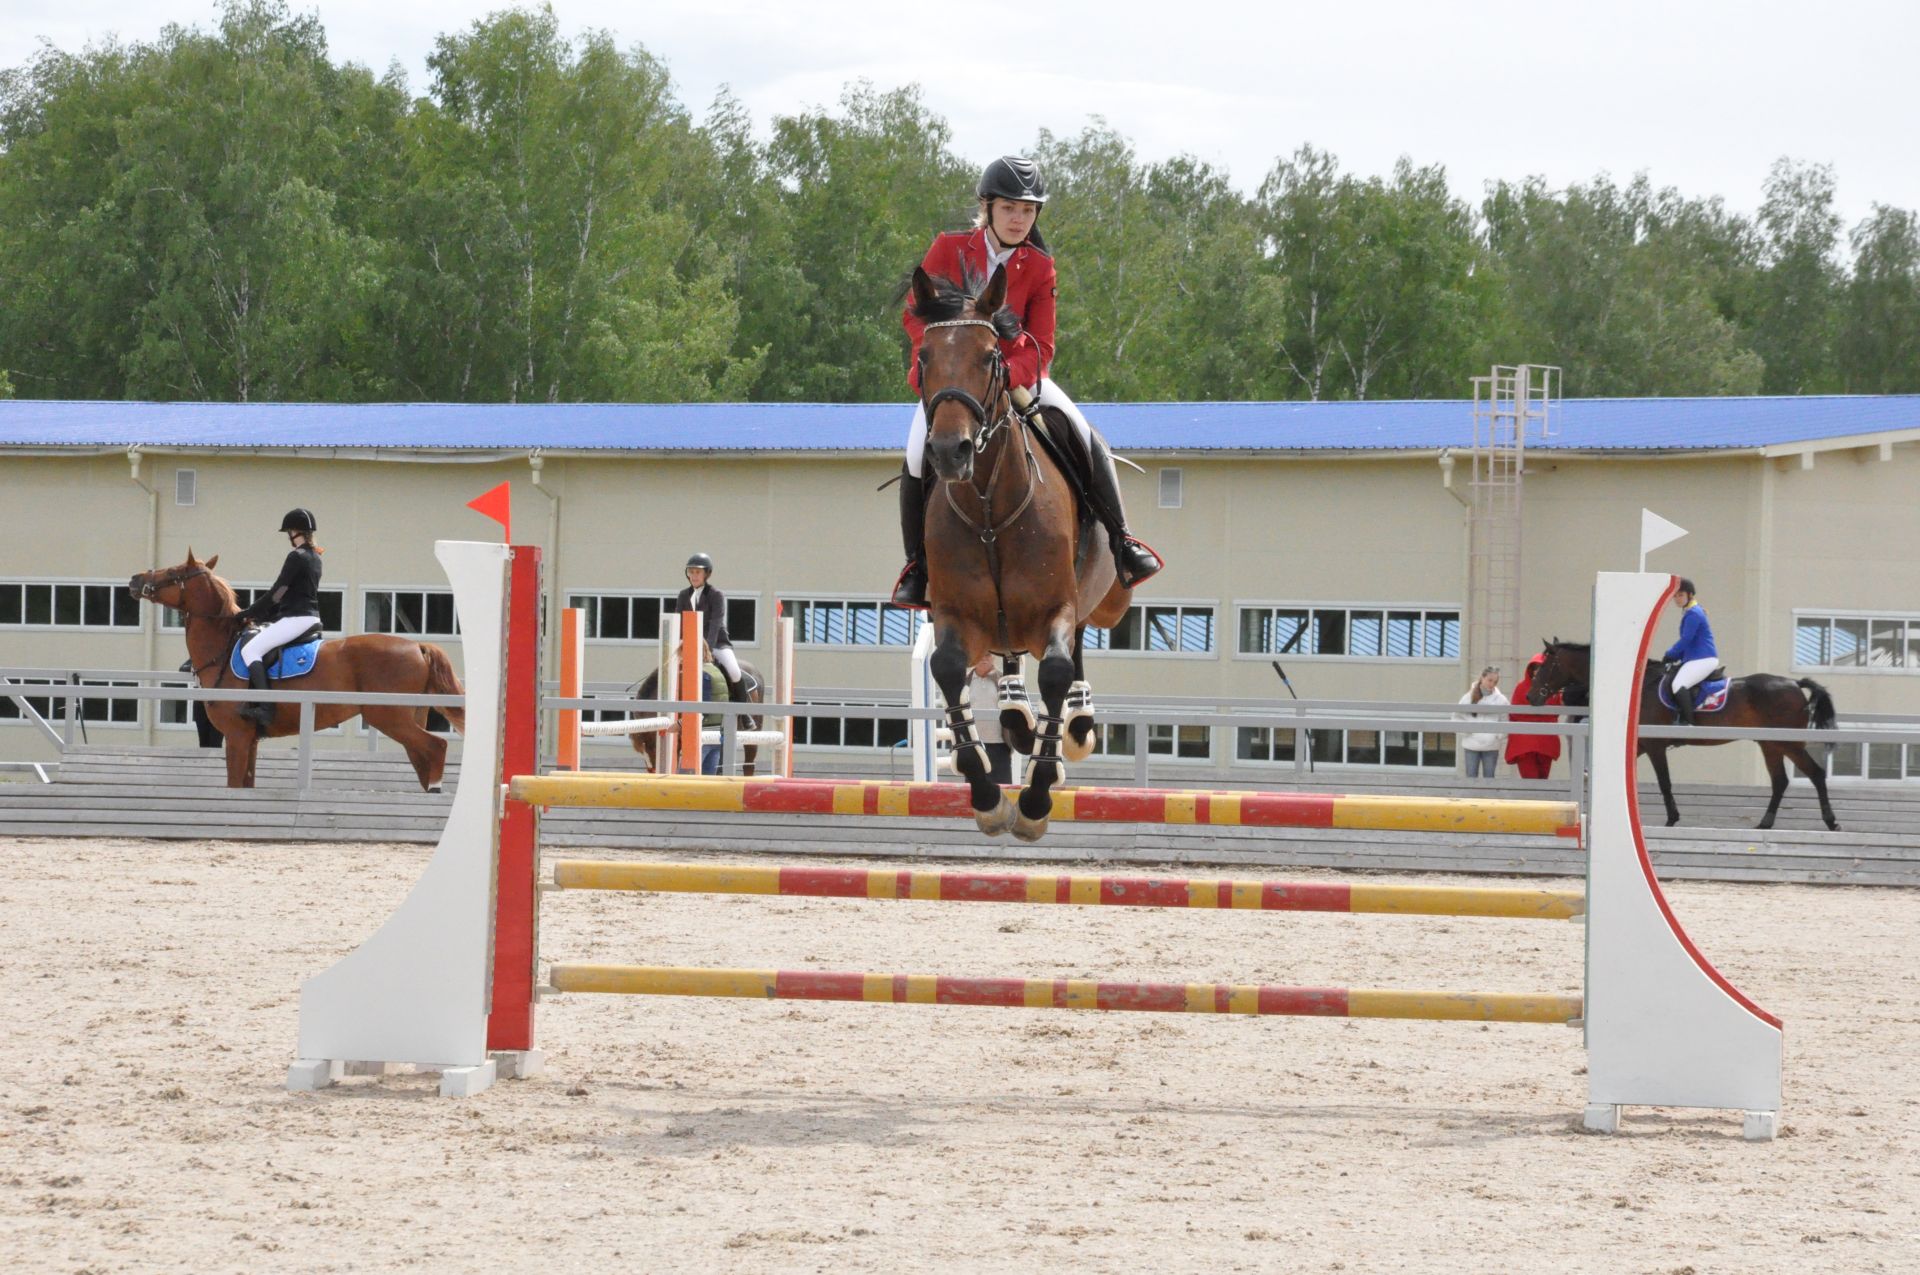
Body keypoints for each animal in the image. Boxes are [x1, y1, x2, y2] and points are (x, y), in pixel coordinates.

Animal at [129, 553, 466, 791]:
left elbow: (234, 784)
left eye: (173, 573)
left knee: (436, 747)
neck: (223, 647)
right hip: (408, 717)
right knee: (422, 759)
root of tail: (417, 645)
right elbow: (246, 784)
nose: (135, 579)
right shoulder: (250, 740)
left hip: (389, 717)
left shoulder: (237, 735)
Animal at [906, 263, 1128, 841]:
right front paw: (987, 797)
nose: (949, 452)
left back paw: (1077, 722)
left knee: (1076, 648)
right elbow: (946, 669)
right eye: (924, 357)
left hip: (1097, 599)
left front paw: (1035, 798)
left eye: (991, 356)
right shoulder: (955, 612)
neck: (989, 505)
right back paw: (1013, 713)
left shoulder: (1056, 607)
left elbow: (1055, 671)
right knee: (1009, 663)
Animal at [1520, 637, 1835, 837]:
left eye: (1545, 667)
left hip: (1787, 743)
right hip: (1770, 745)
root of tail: (1793, 682)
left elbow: (1665, 783)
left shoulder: (1655, 746)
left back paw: (1831, 822)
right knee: (1781, 781)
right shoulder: (1640, 745)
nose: (1532, 697)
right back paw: (1765, 824)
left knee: (1815, 774)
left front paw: (1672, 819)